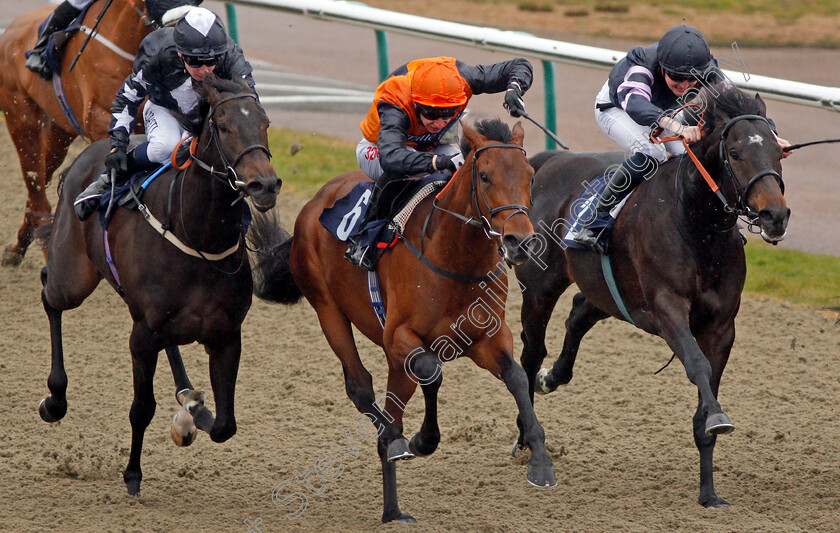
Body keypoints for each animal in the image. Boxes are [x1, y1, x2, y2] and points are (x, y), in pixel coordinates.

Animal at [39, 75, 280, 494]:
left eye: (264, 123)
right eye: (224, 126)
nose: (264, 184)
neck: (199, 235)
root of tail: (88, 153)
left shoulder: (227, 335)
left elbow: (225, 425)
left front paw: (192, 417)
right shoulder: (143, 335)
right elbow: (142, 409)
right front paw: (133, 474)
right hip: (73, 277)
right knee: (49, 294)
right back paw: (55, 398)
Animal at [249, 118, 556, 520]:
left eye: (531, 176)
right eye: (485, 176)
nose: (520, 242)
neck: (455, 259)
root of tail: (316, 200)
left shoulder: (487, 337)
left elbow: (518, 378)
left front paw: (540, 461)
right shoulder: (398, 337)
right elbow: (431, 371)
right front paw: (422, 439)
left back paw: (393, 507)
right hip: (328, 310)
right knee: (361, 388)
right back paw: (392, 453)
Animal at [508, 86, 792, 508]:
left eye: (777, 151)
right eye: (736, 152)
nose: (775, 216)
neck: (696, 224)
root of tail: (551, 161)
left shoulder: (722, 325)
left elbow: (707, 392)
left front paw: (709, 493)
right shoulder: (666, 307)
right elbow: (696, 365)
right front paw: (717, 420)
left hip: (606, 288)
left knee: (577, 314)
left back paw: (552, 378)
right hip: (540, 284)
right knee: (531, 353)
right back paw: (527, 437)